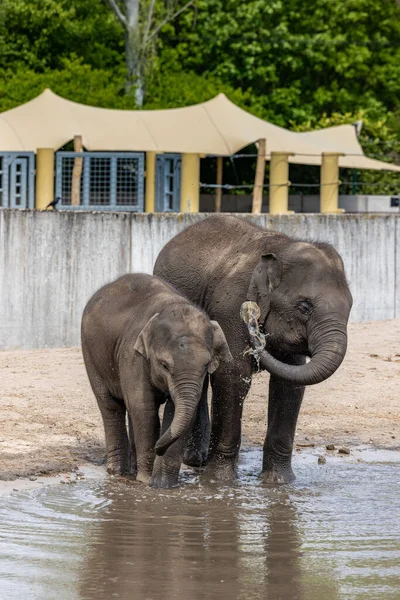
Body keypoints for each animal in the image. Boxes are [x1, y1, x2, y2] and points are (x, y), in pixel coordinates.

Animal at [81, 274, 231, 490]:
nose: (158, 447)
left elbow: (175, 410)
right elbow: (143, 407)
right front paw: (146, 480)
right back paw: (117, 471)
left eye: (206, 366)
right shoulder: (132, 355)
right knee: (110, 405)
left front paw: (163, 486)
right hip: (90, 352)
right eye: (164, 365)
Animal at [153, 216, 354, 482]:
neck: (282, 249)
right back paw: (196, 460)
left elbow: (288, 384)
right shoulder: (230, 308)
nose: (254, 324)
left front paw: (280, 483)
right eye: (305, 307)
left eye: (350, 306)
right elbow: (233, 375)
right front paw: (219, 482)